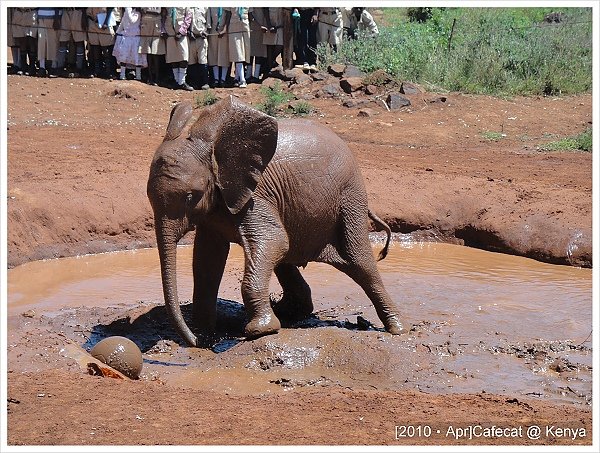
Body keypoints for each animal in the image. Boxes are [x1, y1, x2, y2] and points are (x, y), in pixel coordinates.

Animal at [147, 93, 406, 344]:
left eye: (191, 196)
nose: (193, 341)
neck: (214, 153)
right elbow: (207, 258)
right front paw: (205, 333)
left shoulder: (256, 195)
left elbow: (274, 240)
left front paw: (259, 331)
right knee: (287, 258)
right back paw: (290, 313)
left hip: (349, 197)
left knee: (360, 262)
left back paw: (397, 329)